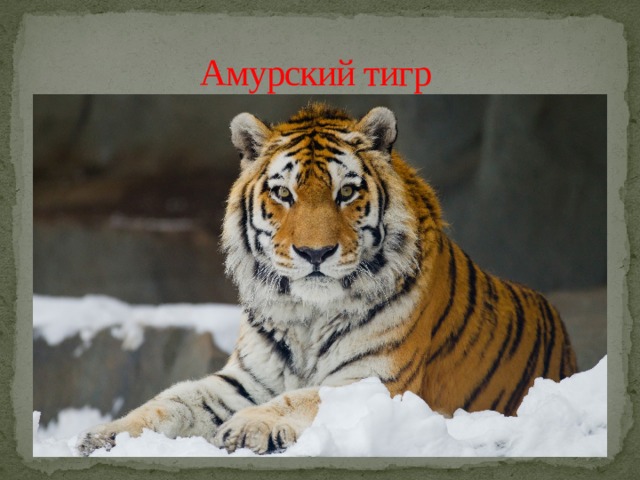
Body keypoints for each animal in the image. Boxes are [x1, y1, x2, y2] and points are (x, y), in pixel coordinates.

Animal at [77, 103, 577, 456]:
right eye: (283, 193)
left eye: (347, 191)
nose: (315, 253)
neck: (307, 315)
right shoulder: (244, 380)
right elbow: (172, 400)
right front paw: (103, 435)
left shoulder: (377, 381)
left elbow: (302, 398)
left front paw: (246, 427)